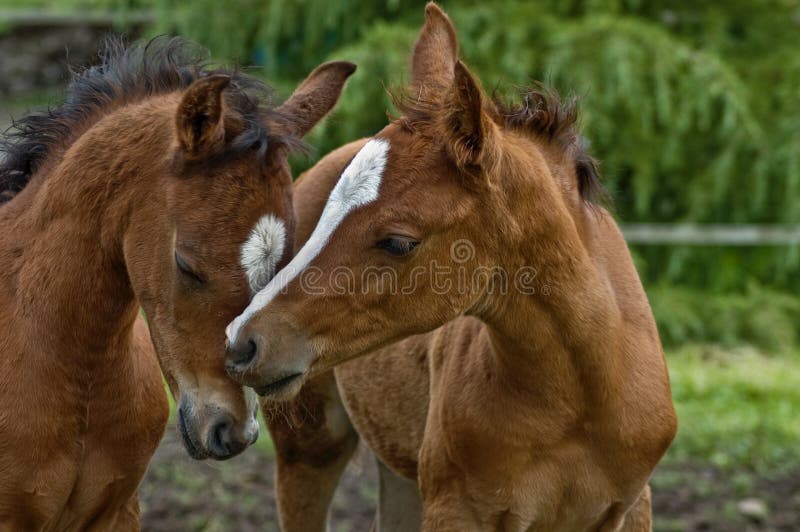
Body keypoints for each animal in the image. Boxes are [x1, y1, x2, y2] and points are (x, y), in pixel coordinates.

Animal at [228, 5, 680, 532]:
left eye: (399, 242)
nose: (242, 342)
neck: (581, 398)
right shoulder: (457, 508)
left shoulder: (631, 507)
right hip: (309, 450)